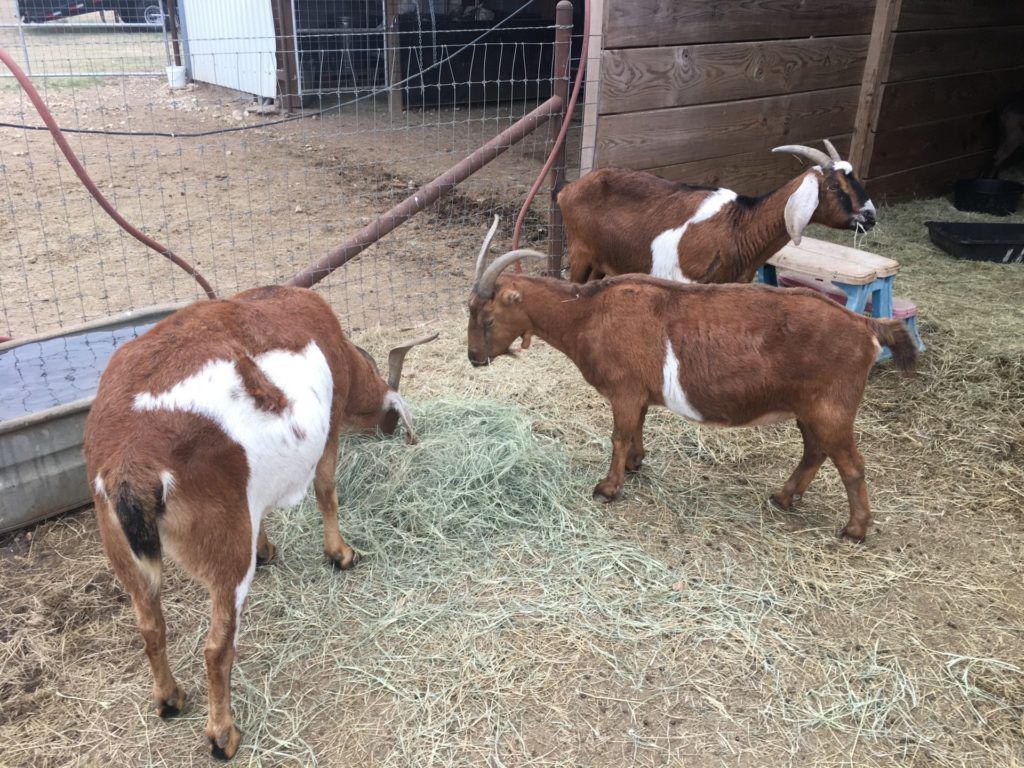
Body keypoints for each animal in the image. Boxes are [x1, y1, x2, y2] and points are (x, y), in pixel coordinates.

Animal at [83, 285, 435, 760]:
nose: (389, 429)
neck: (334, 344)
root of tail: (130, 461)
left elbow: (265, 509)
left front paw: (266, 547)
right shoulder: (329, 429)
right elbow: (327, 491)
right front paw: (341, 554)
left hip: (122, 550)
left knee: (150, 626)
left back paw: (170, 699)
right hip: (225, 551)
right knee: (216, 647)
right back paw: (223, 737)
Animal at [467, 223, 915, 543]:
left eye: (487, 318)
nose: (473, 358)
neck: (587, 313)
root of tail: (865, 326)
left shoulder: (624, 389)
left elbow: (618, 435)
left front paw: (608, 488)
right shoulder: (639, 393)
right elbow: (637, 428)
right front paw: (636, 464)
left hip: (831, 407)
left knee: (851, 465)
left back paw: (854, 530)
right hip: (809, 408)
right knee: (816, 452)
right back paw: (784, 497)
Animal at [557, 140, 876, 284]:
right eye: (834, 186)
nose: (870, 216)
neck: (742, 226)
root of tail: (568, 190)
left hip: (602, 261)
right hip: (580, 254)